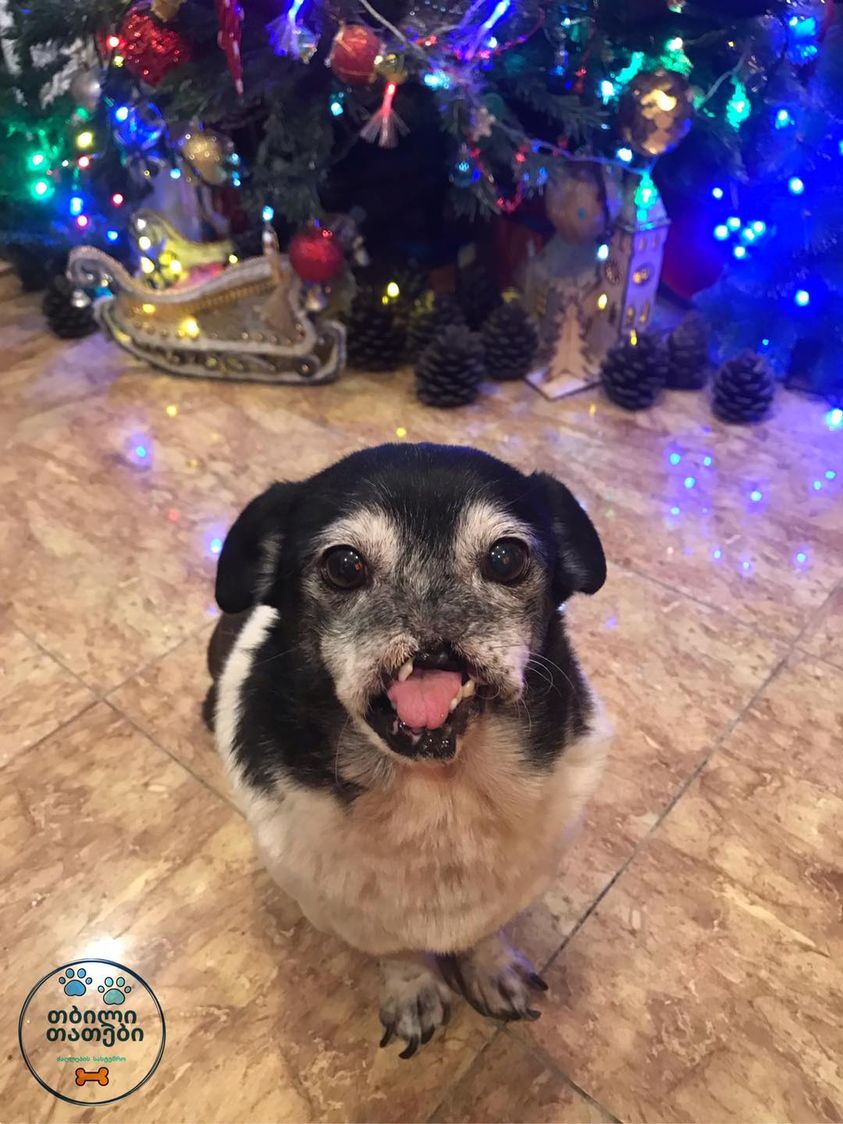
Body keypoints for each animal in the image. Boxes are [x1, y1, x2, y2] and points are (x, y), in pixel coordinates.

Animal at [204, 442, 610, 1058]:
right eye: (344, 565)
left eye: (507, 557)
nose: (432, 609)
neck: (441, 791)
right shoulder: (351, 913)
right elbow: (396, 952)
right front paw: (415, 991)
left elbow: (486, 931)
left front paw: (492, 969)